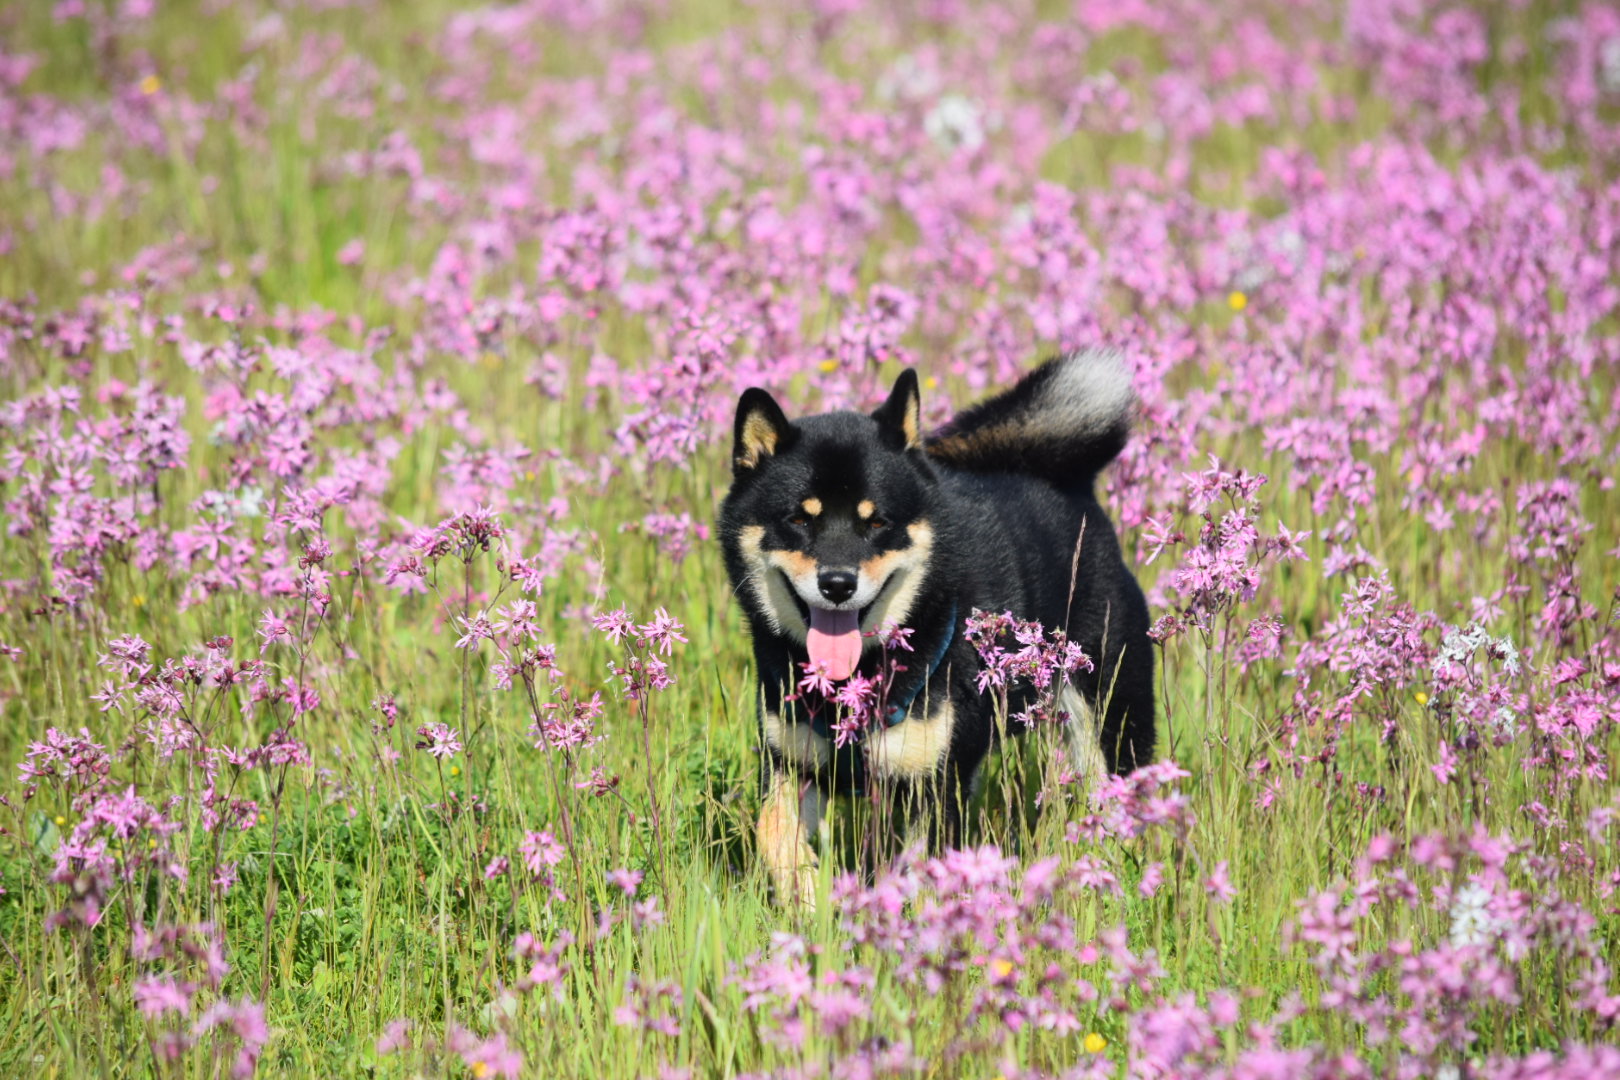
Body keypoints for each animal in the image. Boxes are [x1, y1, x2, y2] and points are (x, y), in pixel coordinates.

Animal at [719, 352, 1153, 906]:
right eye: (799, 519)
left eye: (876, 522)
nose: (837, 583)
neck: (852, 689)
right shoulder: (792, 762)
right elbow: (771, 831)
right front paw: (810, 897)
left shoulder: (937, 782)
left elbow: (924, 875)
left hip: (1109, 714)